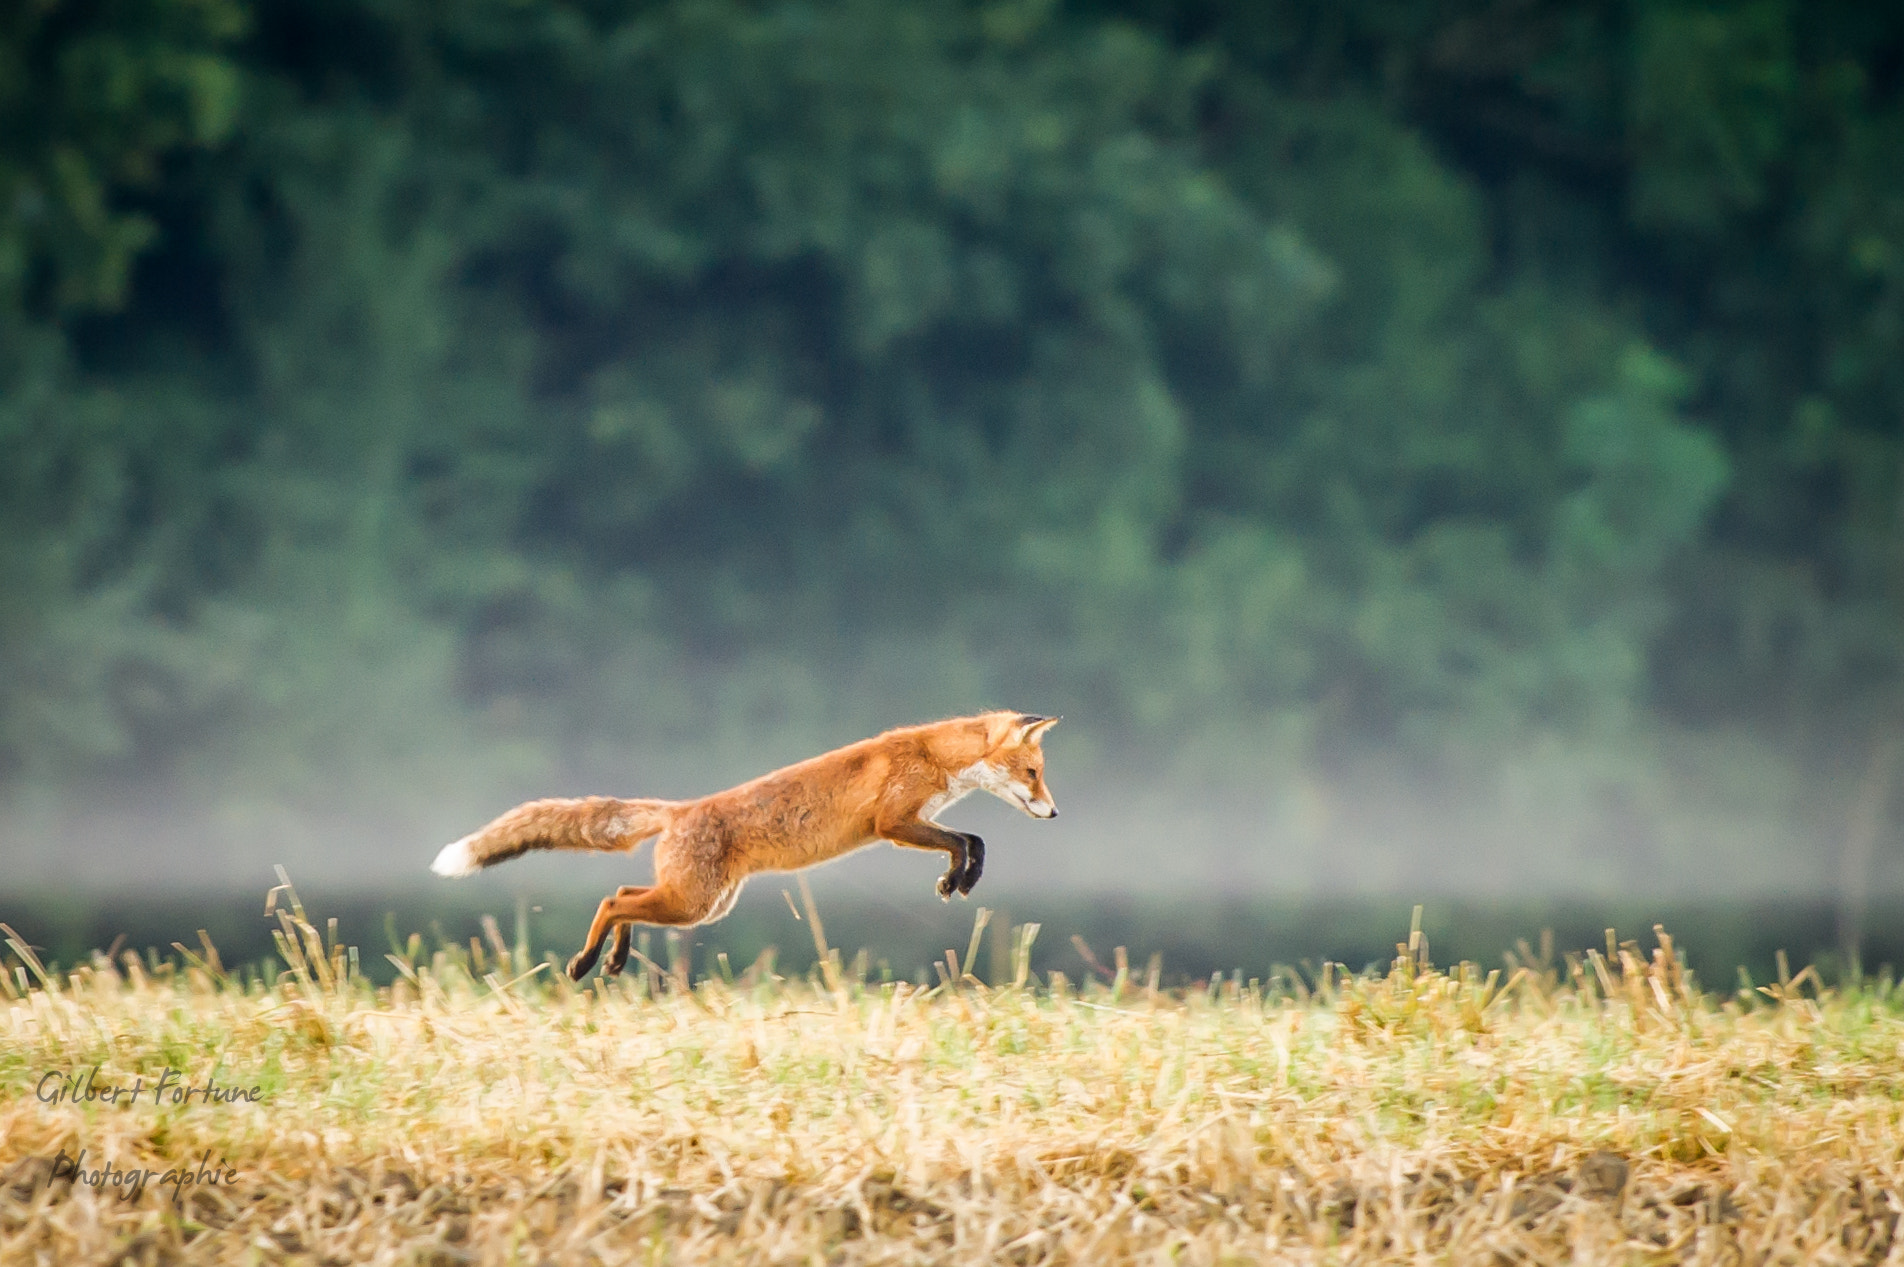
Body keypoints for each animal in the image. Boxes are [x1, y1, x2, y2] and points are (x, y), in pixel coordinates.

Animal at [431, 711, 1060, 980]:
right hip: (691, 903)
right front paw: (958, 877)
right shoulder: (892, 822)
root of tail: (681, 810)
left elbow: (970, 839)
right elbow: (968, 839)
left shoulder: (912, 822)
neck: (934, 757)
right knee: (613, 900)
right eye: (1032, 773)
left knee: (623, 894)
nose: (1055, 813)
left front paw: (959, 878)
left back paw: (612, 958)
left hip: (700, 906)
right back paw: (586, 961)